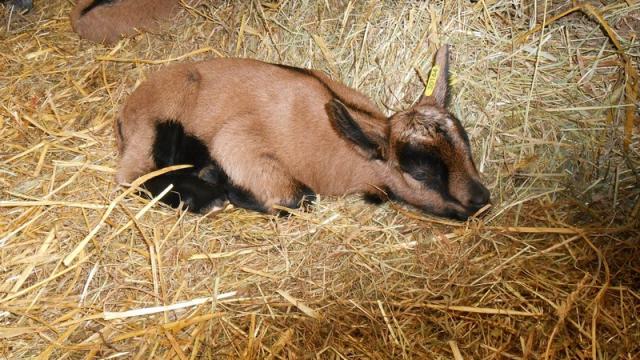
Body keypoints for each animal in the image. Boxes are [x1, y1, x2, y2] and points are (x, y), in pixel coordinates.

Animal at [115, 45, 490, 219]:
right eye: (420, 172)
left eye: (467, 147)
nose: (481, 200)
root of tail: (127, 110)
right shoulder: (238, 140)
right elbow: (298, 197)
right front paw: (230, 190)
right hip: (157, 125)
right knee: (134, 175)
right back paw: (207, 196)